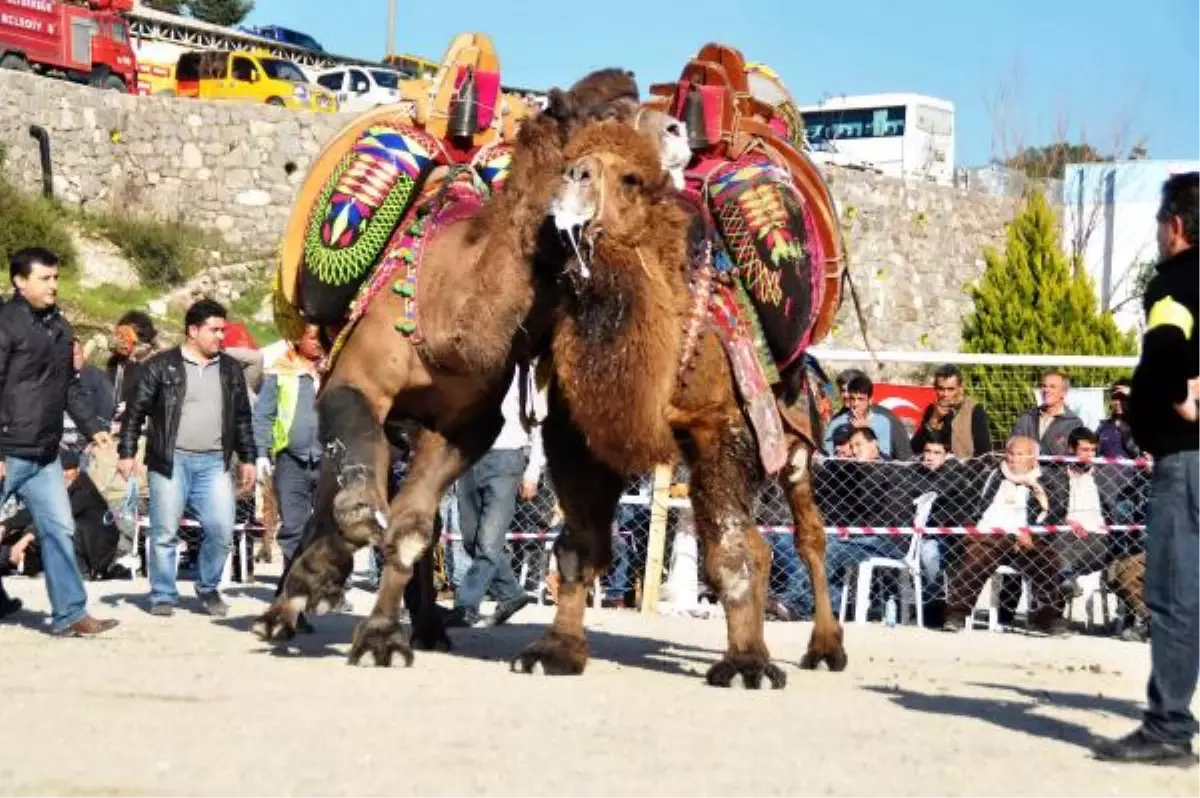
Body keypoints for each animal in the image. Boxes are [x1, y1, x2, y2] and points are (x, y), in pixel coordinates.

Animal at [253, 69, 643, 667]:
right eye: (587, 143)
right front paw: (322, 578)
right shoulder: (355, 382)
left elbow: (412, 527)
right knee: (332, 484)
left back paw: (424, 623)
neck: (445, 304)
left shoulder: (465, 426)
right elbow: (358, 490)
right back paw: (284, 610)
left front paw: (382, 637)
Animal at [511, 118, 849, 686]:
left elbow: (733, 549)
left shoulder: (723, 428)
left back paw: (826, 648)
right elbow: (579, 544)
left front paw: (747, 665)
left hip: (796, 449)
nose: (575, 176)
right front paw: (554, 650)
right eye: (571, 162)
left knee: (808, 535)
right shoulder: (578, 435)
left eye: (630, 179)